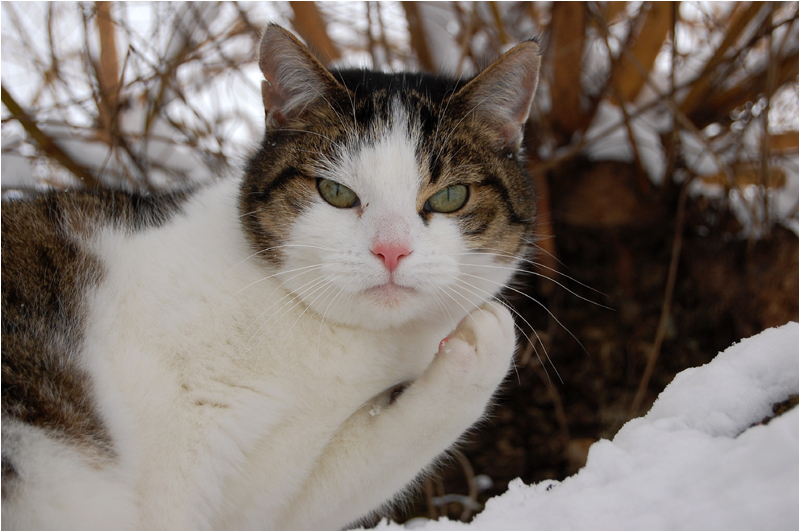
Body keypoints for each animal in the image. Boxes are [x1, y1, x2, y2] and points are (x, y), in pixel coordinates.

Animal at [0, 23, 540, 528]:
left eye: (450, 197)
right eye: (335, 192)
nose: (391, 249)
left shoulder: (264, 494)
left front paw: (484, 342)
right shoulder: (172, 471)